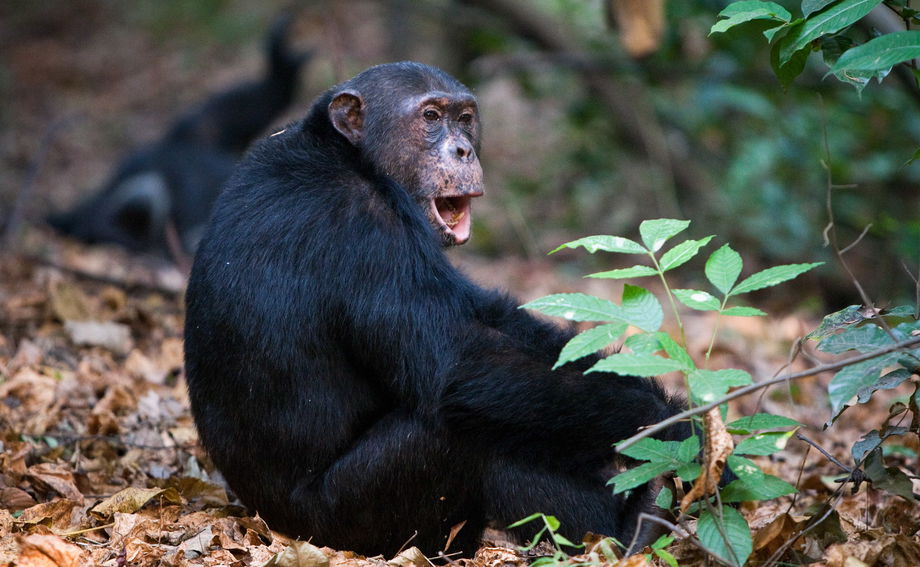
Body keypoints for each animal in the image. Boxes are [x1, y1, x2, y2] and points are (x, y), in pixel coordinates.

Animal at [185, 62, 688, 560]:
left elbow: (485, 316)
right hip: (353, 524)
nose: (463, 149)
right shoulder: (367, 224)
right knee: (463, 427)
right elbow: (458, 358)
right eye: (430, 117)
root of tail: (264, 521)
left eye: (464, 118)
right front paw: (673, 429)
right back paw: (632, 529)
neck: (348, 155)